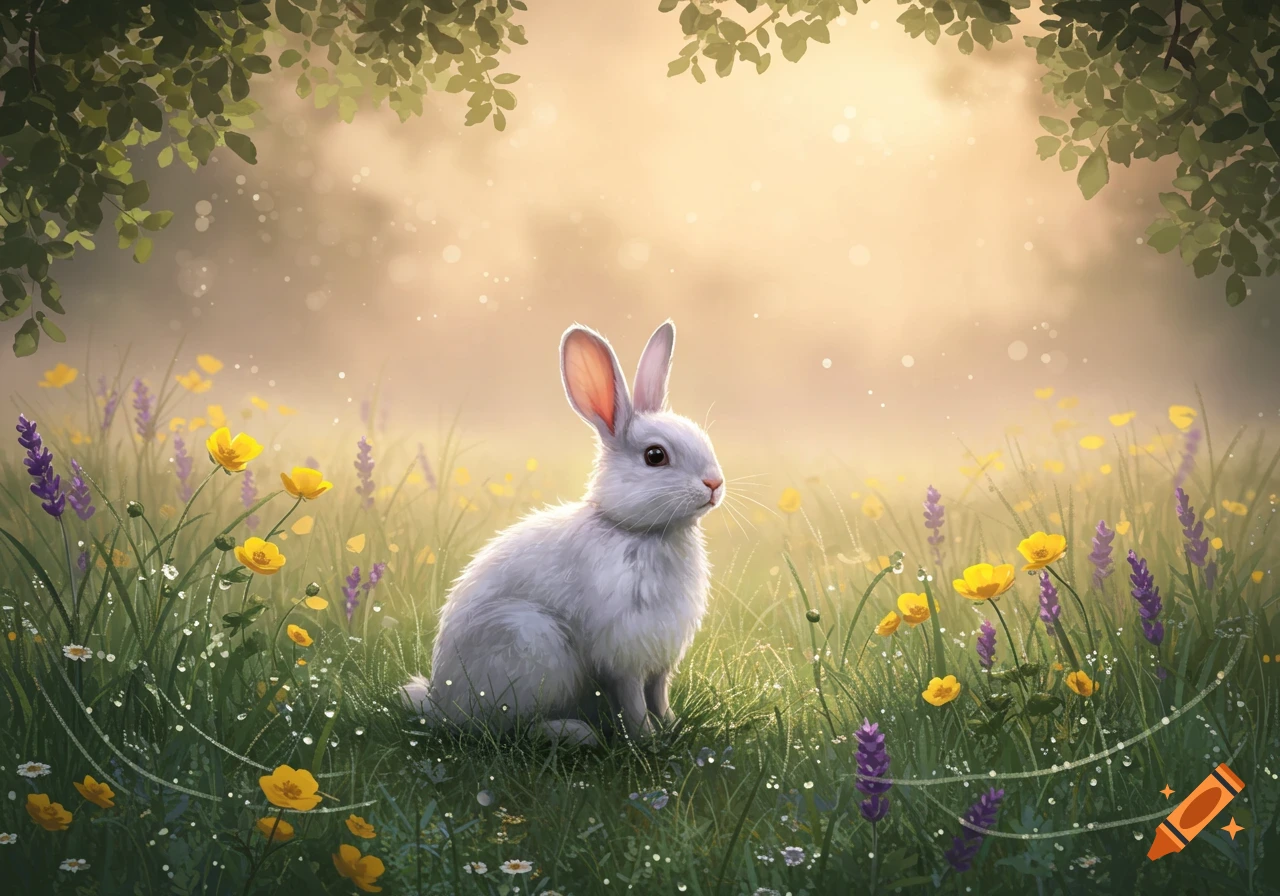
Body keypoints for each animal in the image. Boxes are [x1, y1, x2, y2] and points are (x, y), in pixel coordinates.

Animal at [401, 320, 724, 745]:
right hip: (530, 645)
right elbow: (635, 699)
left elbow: (659, 694)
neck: (643, 532)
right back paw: (576, 733)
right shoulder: (624, 653)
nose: (715, 483)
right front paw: (646, 740)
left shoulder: (660, 657)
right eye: (655, 456)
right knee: (507, 729)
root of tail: (441, 703)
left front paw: (673, 727)